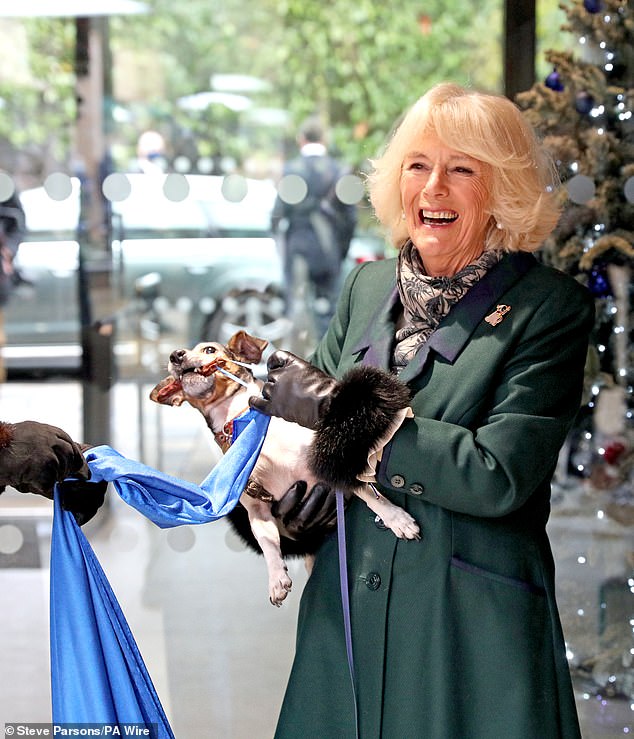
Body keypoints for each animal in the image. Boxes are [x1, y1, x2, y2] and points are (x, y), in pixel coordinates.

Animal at [150, 332, 418, 604]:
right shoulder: (257, 510)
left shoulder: (331, 464)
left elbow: (367, 492)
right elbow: (268, 542)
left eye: (209, 350)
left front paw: (396, 518)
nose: (175, 355)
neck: (244, 422)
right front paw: (276, 579)